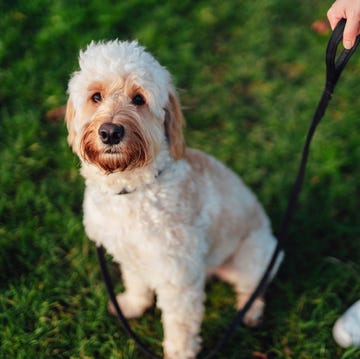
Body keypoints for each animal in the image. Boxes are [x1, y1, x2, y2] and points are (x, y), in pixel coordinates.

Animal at [65, 40, 284, 359]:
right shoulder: (131, 255)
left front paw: (179, 352)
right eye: (96, 96)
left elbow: (180, 325)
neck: (131, 189)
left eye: (139, 99)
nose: (110, 132)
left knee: (254, 286)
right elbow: (137, 283)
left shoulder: (178, 277)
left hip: (254, 256)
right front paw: (132, 305)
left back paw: (251, 311)